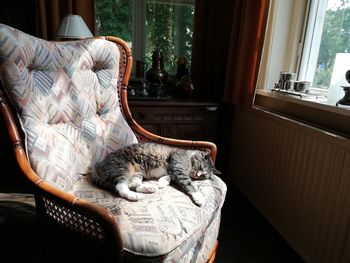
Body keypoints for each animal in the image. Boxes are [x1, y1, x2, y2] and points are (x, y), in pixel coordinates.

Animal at [91, 142, 221, 206]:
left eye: (203, 176)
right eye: (200, 167)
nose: (198, 175)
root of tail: (98, 167)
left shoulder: (172, 171)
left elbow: (168, 177)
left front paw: (162, 182)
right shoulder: (178, 168)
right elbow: (188, 184)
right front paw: (199, 197)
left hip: (137, 173)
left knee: (133, 184)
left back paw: (150, 188)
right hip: (122, 167)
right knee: (121, 187)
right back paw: (134, 196)